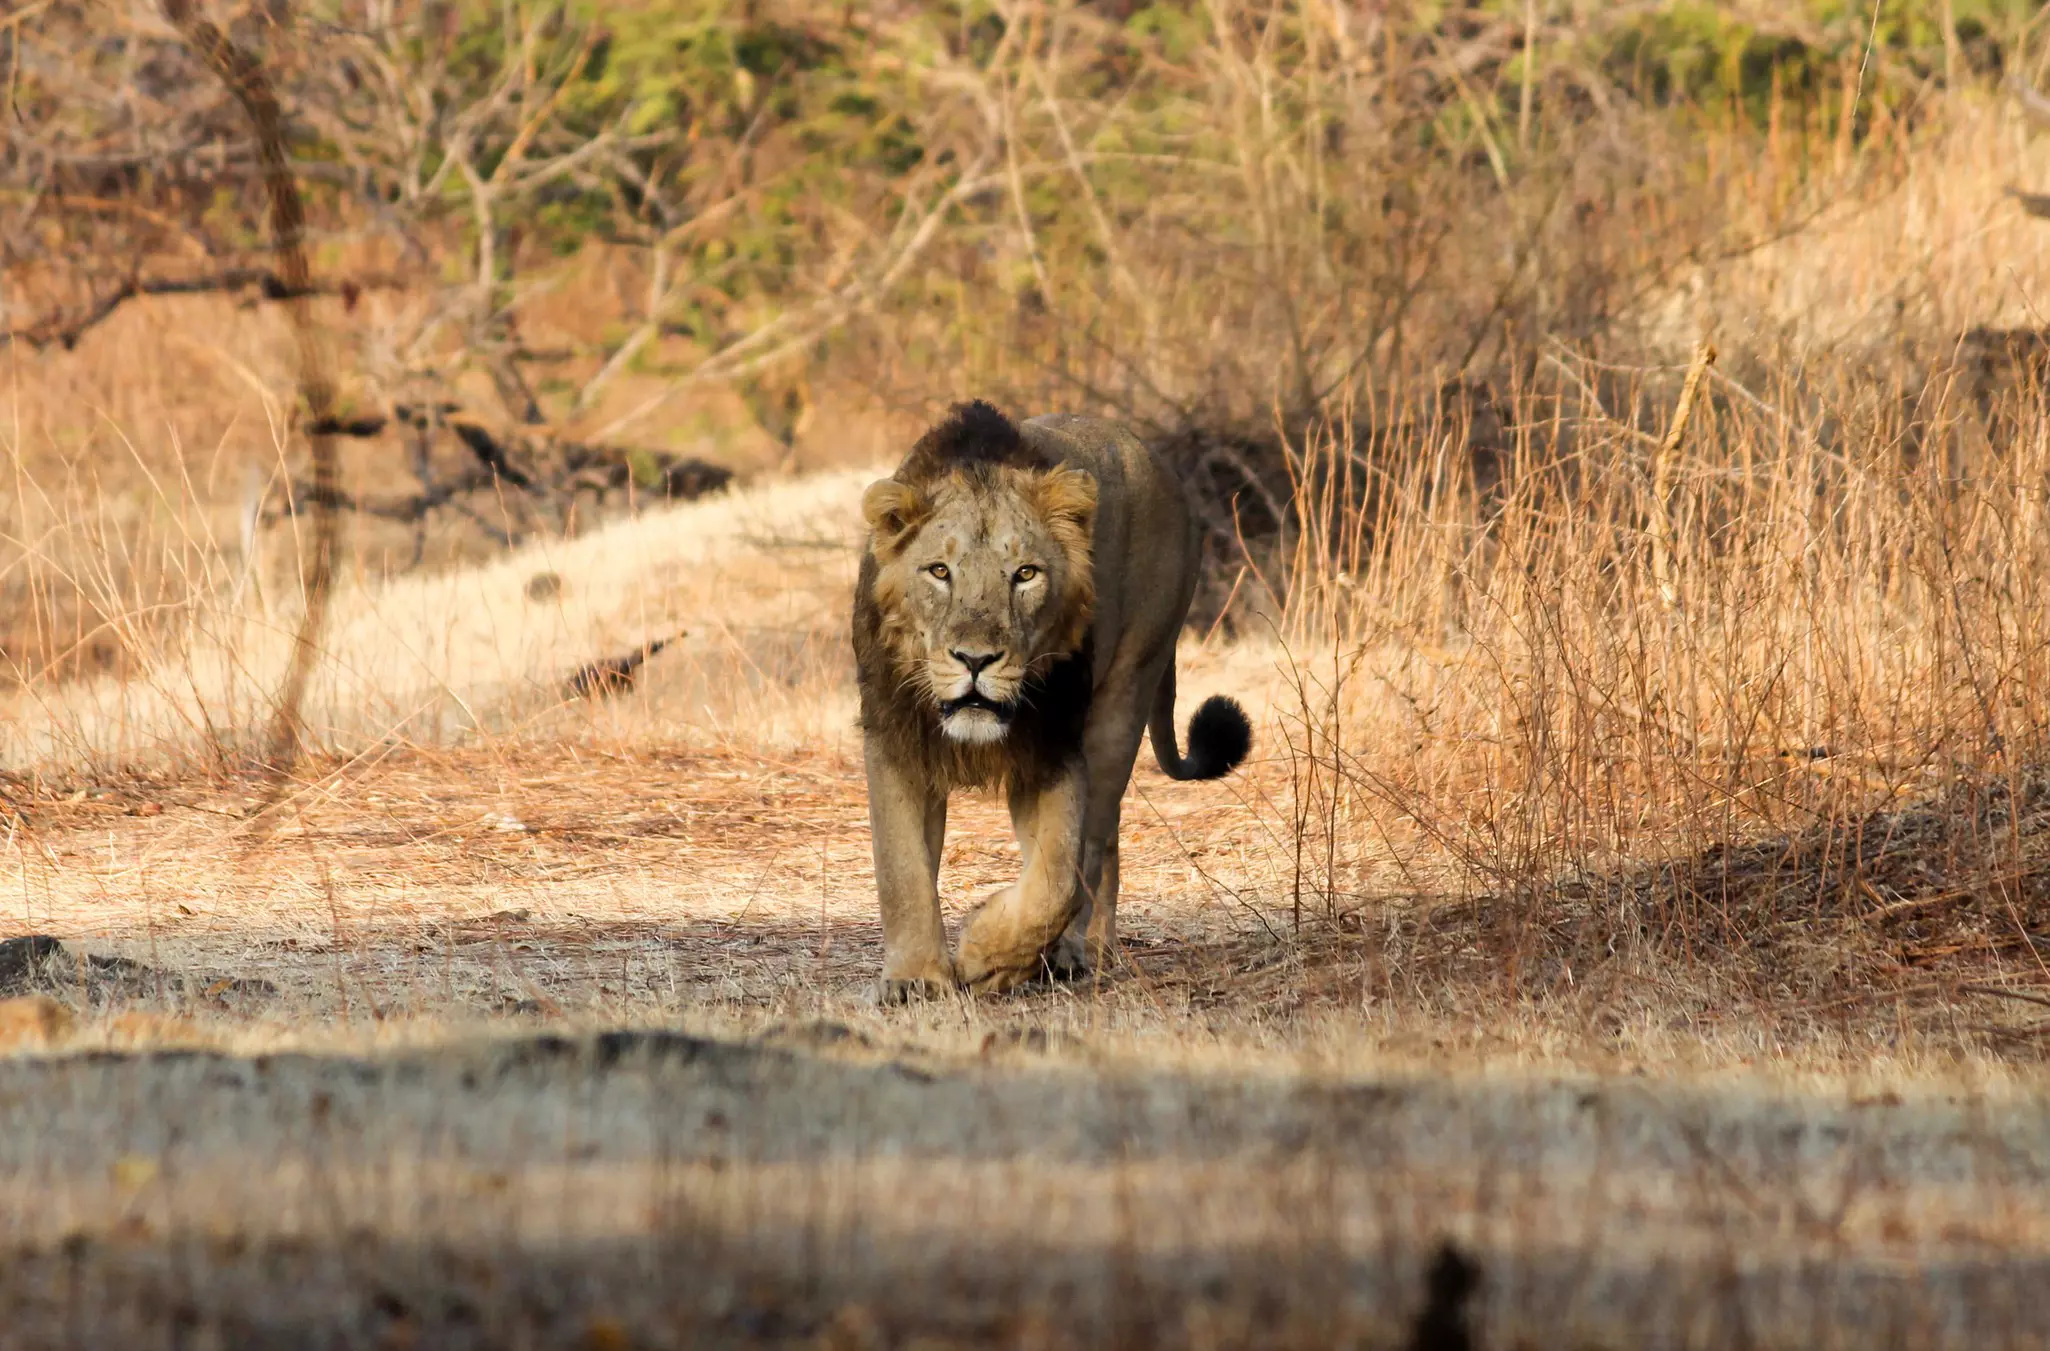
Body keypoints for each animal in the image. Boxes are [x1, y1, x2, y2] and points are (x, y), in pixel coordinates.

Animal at [852, 401, 1252, 998]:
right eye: (939, 571)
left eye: (1025, 574)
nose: (975, 660)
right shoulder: (893, 733)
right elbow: (900, 868)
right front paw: (915, 979)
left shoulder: (1055, 744)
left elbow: (1059, 879)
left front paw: (986, 956)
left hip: (1126, 694)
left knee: (1099, 842)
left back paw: (1075, 952)